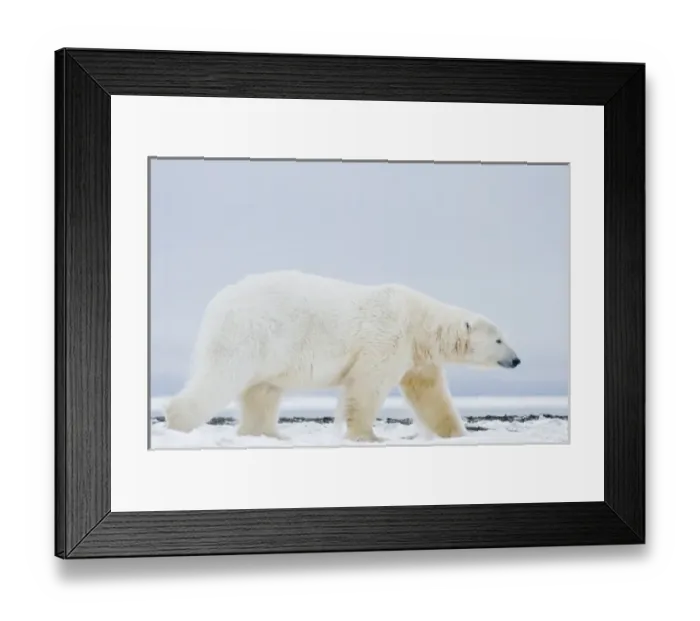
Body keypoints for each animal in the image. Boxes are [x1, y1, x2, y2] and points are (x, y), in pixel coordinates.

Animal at [164, 270, 521, 442]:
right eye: (500, 339)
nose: (517, 360)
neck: (418, 320)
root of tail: (217, 304)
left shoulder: (417, 356)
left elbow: (430, 393)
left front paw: (457, 433)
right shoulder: (388, 338)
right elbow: (367, 385)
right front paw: (368, 436)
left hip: (272, 353)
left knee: (262, 391)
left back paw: (268, 433)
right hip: (251, 335)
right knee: (222, 377)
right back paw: (178, 422)